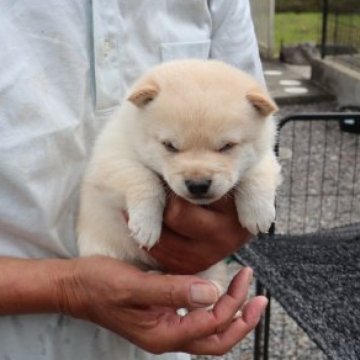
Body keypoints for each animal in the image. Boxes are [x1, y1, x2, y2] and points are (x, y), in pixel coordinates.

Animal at [77, 59, 282, 296]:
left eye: (226, 146)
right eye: (170, 146)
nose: (198, 184)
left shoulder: (266, 155)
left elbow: (258, 173)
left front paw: (258, 214)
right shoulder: (110, 160)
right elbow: (143, 178)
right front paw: (146, 225)